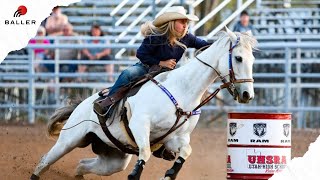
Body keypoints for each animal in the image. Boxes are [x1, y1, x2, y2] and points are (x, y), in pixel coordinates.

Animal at [29, 27, 255, 179]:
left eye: (252, 60)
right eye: (238, 58)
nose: (247, 94)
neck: (182, 90)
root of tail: (80, 106)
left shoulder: (175, 138)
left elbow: (186, 151)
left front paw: (170, 173)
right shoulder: (140, 124)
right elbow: (144, 152)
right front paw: (135, 175)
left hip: (114, 159)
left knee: (82, 165)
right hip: (69, 140)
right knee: (44, 162)